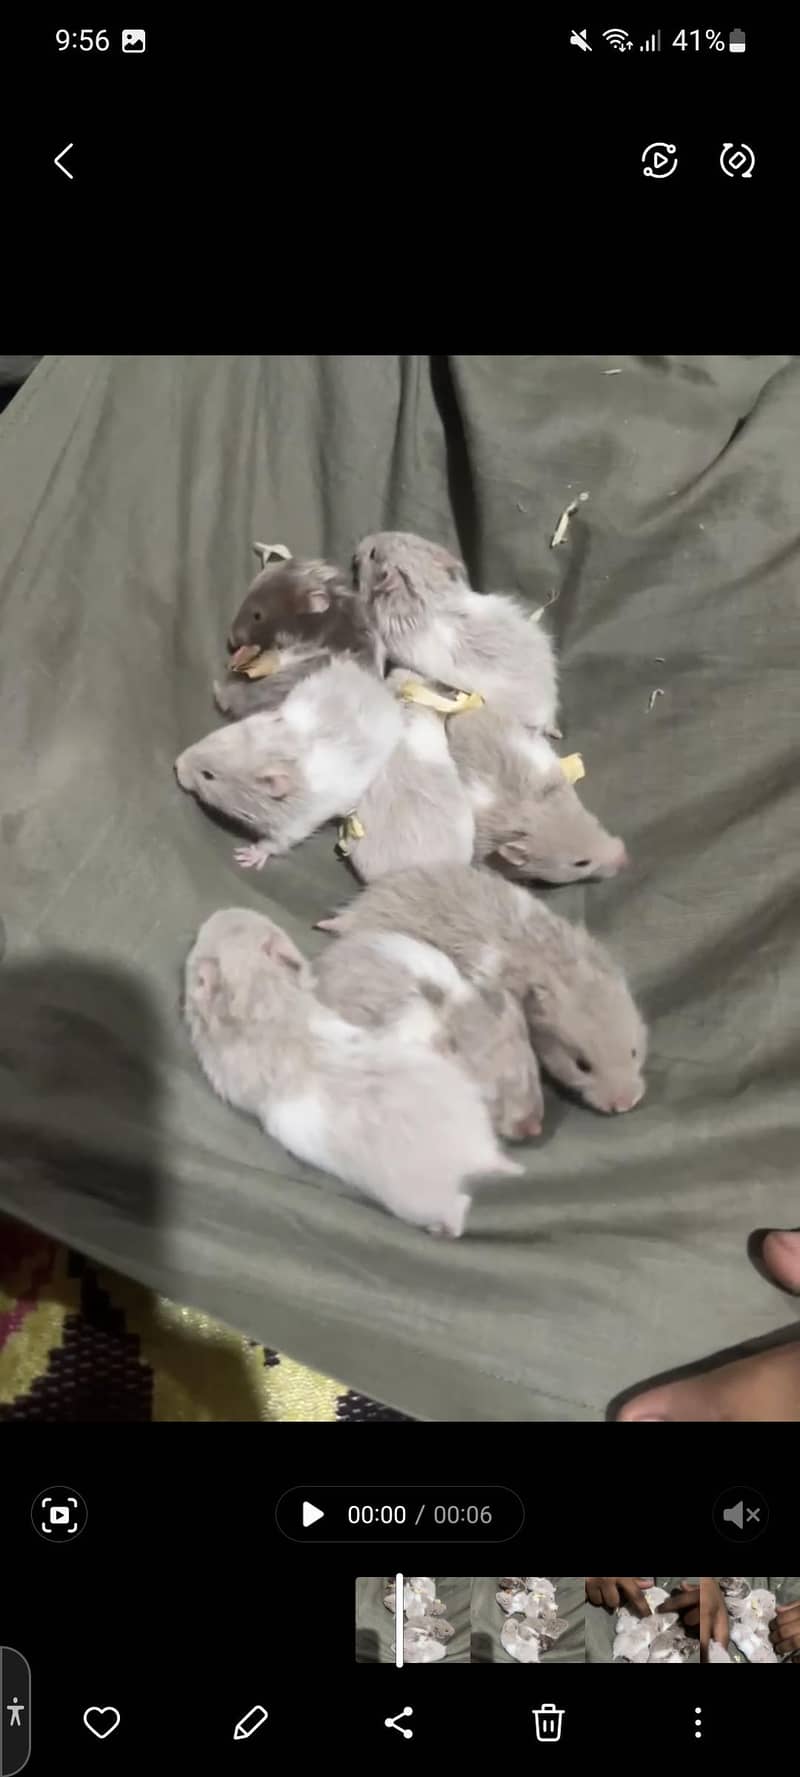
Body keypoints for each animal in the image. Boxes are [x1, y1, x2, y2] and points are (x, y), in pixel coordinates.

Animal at [175, 658, 403, 869]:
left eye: (208, 775)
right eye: (212, 736)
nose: (176, 765)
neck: (282, 751)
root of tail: (379, 689)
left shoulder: (296, 824)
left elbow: (277, 843)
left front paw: (250, 855)